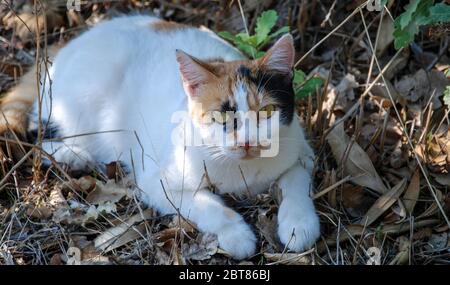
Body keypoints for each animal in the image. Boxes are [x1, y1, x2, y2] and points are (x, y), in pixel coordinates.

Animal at [0, 16, 320, 260]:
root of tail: (71, 43)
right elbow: (207, 205)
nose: (247, 142)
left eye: (266, 112)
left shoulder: (302, 152)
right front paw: (237, 235)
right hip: (79, 106)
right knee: (38, 133)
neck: (244, 172)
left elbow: (296, 182)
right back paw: (74, 155)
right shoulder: (157, 182)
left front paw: (299, 224)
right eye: (220, 116)